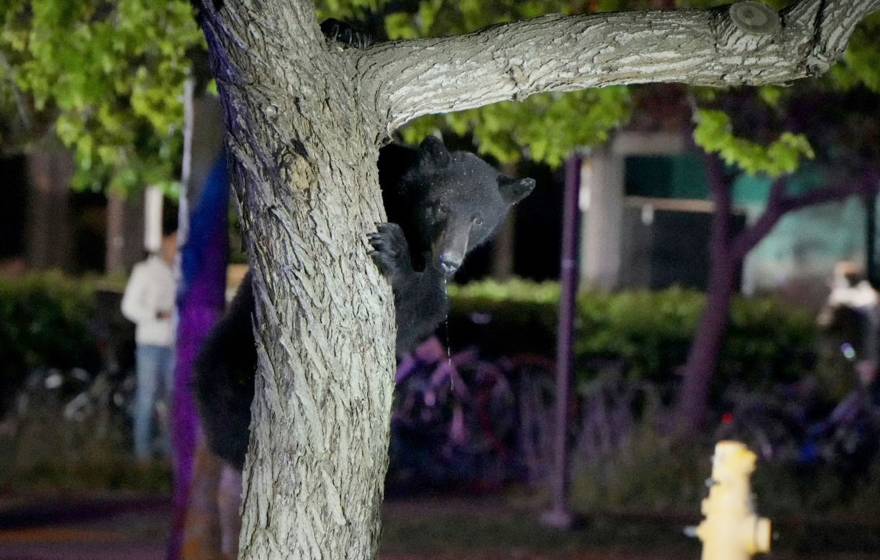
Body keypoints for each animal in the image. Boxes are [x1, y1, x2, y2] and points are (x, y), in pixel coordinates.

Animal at [195, 136, 535, 469]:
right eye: (440, 207)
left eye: (478, 220)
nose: (449, 260)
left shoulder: (431, 285)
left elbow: (420, 312)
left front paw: (396, 254)